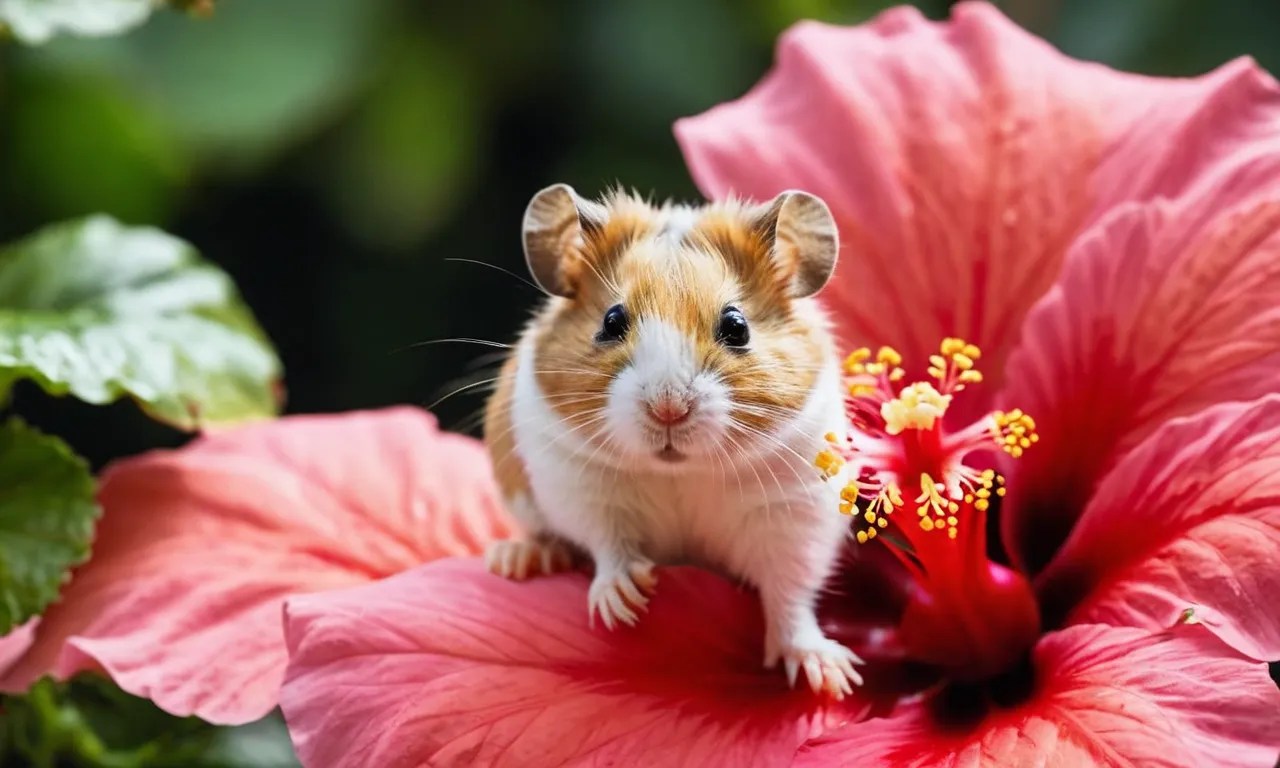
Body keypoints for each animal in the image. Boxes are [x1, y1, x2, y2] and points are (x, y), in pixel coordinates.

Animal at [482, 183, 862, 697]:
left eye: (736, 327)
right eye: (612, 321)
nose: (668, 409)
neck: (680, 470)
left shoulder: (795, 513)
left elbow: (791, 595)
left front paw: (833, 678)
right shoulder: (582, 486)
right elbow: (609, 543)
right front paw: (625, 603)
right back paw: (518, 558)